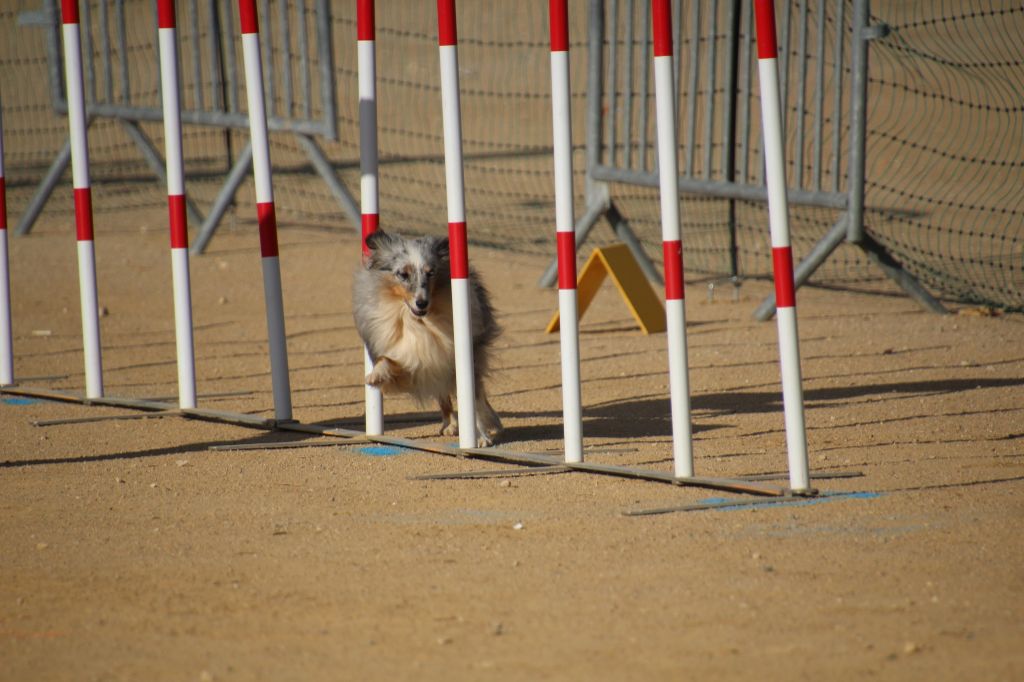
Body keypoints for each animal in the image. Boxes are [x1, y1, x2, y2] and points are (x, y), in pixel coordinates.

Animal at [352, 228, 503, 446]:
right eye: (403, 274)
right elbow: (386, 360)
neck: (418, 322)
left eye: (431, 273)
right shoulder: (413, 363)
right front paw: (375, 376)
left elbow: (473, 400)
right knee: (443, 395)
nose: (422, 303)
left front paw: (481, 437)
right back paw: (450, 424)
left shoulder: (458, 359)